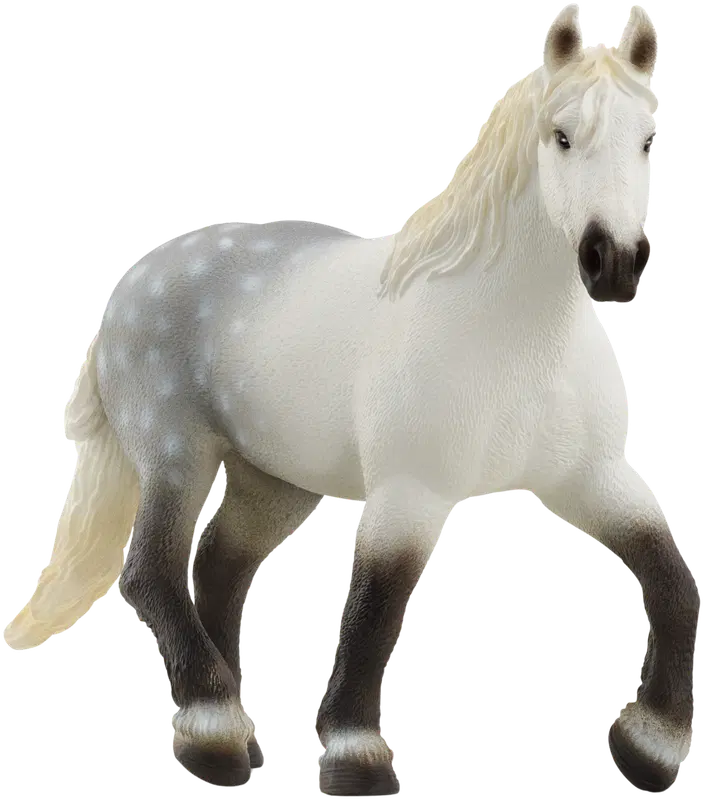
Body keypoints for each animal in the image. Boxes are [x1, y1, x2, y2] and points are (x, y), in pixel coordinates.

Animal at [2, 3, 696, 795]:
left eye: (647, 139)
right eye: (562, 136)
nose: (614, 261)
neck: (514, 336)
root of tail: (130, 283)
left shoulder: (593, 476)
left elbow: (675, 583)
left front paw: (650, 749)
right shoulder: (410, 490)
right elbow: (375, 608)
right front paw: (354, 757)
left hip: (273, 481)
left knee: (217, 572)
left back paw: (235, 731)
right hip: (178, 455)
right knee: (151, 574)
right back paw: (213, 737)